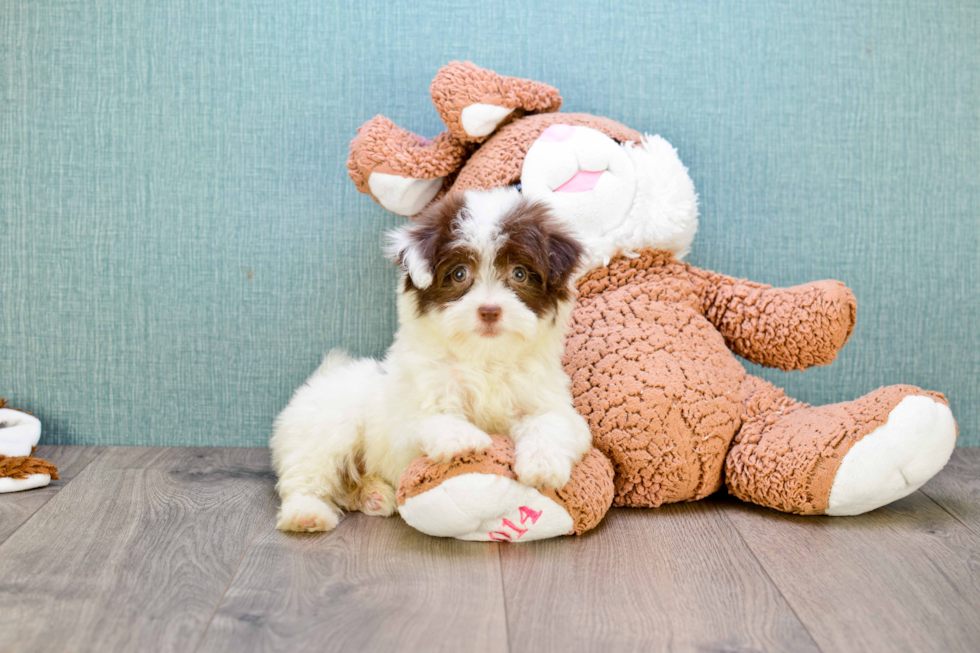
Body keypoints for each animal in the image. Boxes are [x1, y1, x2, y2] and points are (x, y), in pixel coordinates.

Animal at [268, 186, 588, 532]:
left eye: (519, 273)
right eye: (460, 273)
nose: (489, 310)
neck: (483, 358)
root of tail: (325, 375)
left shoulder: (548, 400)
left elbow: (552, 422)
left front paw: (543, 464)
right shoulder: (407, 413)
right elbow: (423, 417)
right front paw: (461, 438)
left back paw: (373, 495)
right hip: (324, 427)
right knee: (308, 474)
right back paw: (306, 513)